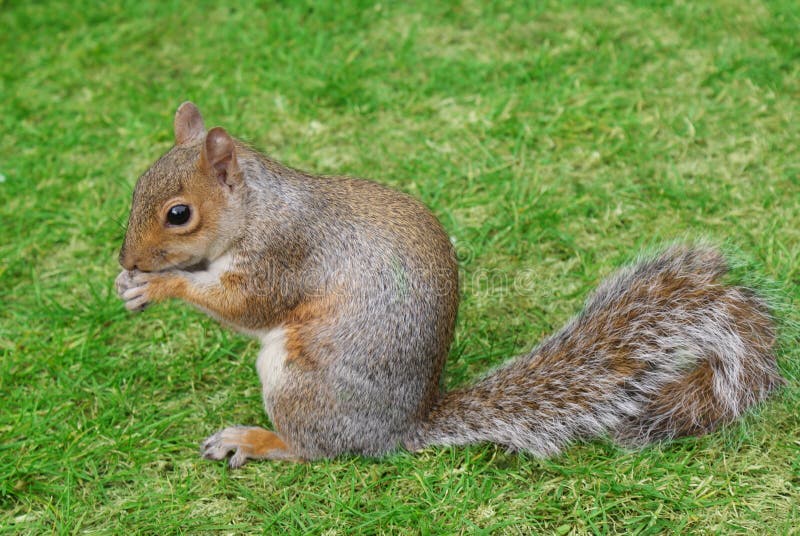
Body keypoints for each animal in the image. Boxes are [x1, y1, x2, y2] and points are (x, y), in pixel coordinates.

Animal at [115, 102, 784, 466]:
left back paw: (257, 441)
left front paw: (160, 286)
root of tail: (400, 428)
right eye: (136, 185)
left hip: (299, 379)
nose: (126, 255)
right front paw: (130, 280)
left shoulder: (285, 254)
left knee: (316, 449)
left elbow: (245, 303)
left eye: (179, 214)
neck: (256, 208)